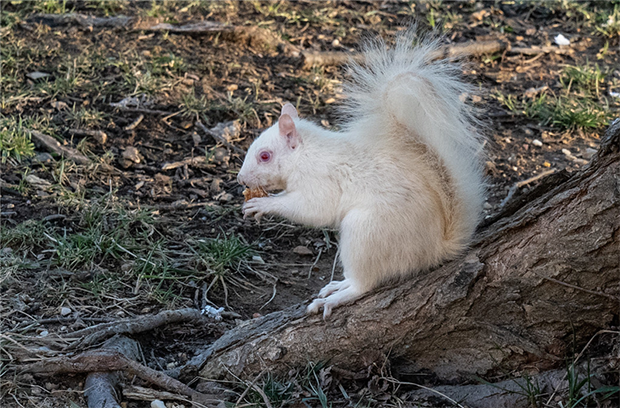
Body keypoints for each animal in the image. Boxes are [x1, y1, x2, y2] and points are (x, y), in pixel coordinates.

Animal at [237, 32, 484, 318]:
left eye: (265, 156)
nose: (241, 179)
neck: (304, 155)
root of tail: (434, 250)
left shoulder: (320, 182)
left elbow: (311, 209)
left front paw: (263, 204)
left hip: (365, 232)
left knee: (364, 284)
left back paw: (337, 297)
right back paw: (337, 285)